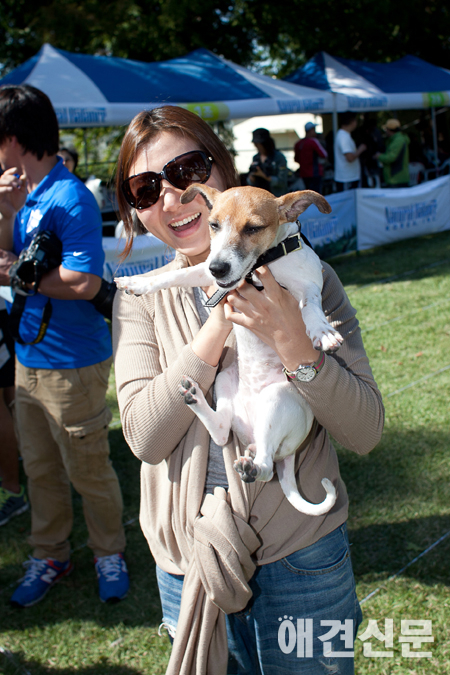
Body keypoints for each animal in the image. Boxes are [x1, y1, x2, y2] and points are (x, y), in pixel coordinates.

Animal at [114, 187, 342, 516]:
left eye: (253, 228)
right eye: (214, 225)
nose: (218, 268)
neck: (263, 264)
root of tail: (288, 454)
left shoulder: (308, 283)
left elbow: (311, 304)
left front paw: (322, 331)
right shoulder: (204, 272)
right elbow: (175, 276)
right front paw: (138, 282)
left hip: (276, 400)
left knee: (266, 466)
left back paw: (252, 468)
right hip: (224, 379)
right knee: (222, 431)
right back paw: (194, 398)